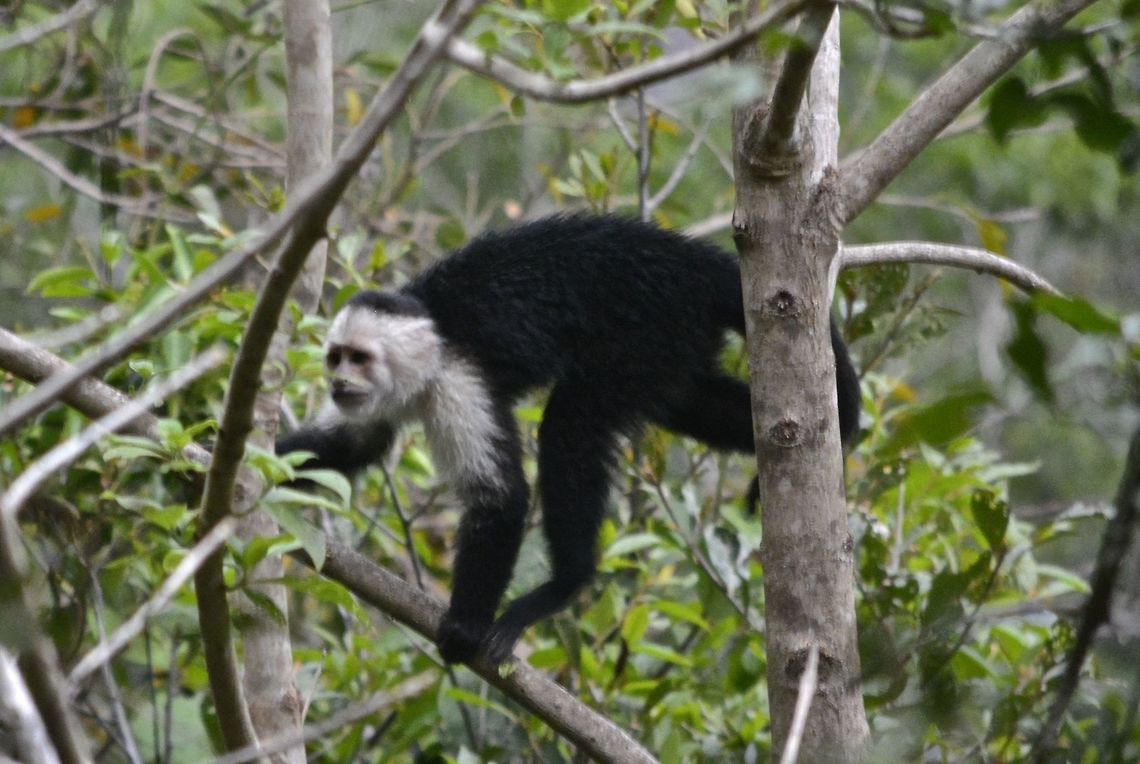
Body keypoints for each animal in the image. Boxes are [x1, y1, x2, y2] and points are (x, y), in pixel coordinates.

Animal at [277, 214, 861, 665]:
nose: (338, 382)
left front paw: (466, 624)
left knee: (571, 424)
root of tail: (684, 260)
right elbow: (353, 446)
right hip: (674, 342)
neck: (431, 336)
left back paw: (566, 584)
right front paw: (253, 471)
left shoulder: (456, 379)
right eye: (336, 358)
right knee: (692, 402)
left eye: (360, 358)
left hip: (646, 330)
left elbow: (500, 499)